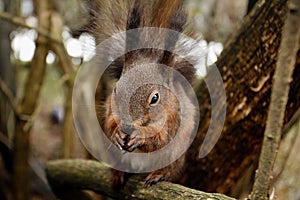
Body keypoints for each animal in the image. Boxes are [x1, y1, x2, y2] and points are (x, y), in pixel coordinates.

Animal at [80, 0, 199, 188]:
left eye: (155, 98)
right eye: (115, 89)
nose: (127, 125)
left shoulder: (174, 118)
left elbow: (161, 139)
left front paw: (140, 136)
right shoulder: (110, 109)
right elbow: (109, 123)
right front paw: (117, 133)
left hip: (175, 156)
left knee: (171, 169)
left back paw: (159, 174)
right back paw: (118, 173)